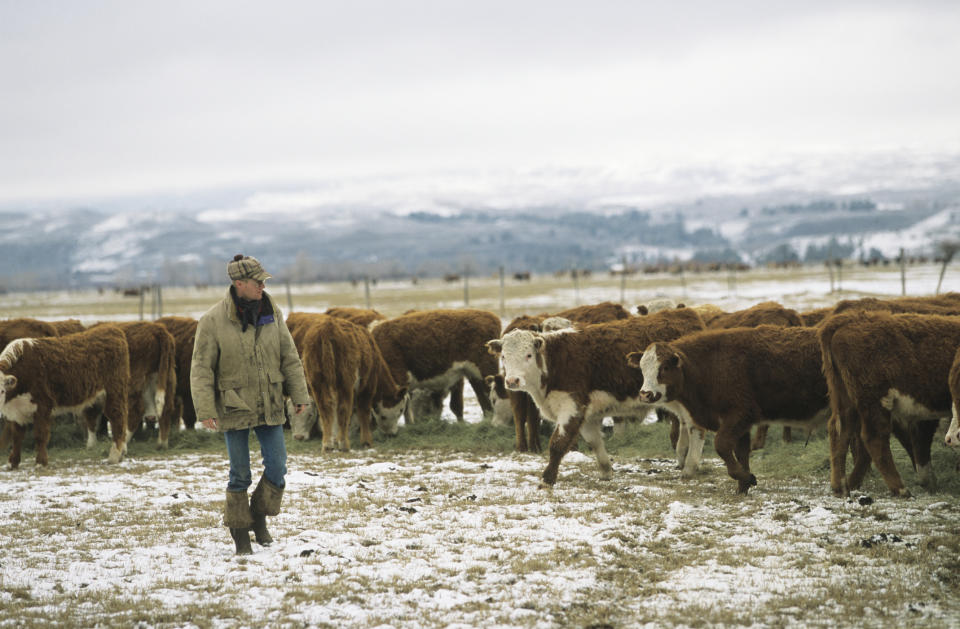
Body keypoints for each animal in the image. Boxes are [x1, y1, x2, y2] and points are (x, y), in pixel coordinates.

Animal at [0, 324, 130, 466]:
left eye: (2, 390)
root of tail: (112, 329)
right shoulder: (18, 411)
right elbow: (17, 438)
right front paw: (13, 463)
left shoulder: (43, 405)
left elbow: (40, 435)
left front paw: (40, 462)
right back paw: (122, 452)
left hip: (114, 391)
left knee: (117, 418)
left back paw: (114, 456)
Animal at [296, 314, 408, 446]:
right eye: (400, 410)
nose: (392, 434)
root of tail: (326, 329)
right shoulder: (367, 386)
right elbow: (363, 411)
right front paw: (366, 441)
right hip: (345, 382)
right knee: (343, 408)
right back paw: (343, 443)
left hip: (316, 381)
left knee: (325, 408)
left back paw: (328, 443)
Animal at [488, 310, 704, 486]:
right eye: (504, 356)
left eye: (528, 355)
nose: (512, 381)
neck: (556, 362)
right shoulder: (586, 413)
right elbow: (595, 442)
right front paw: (606, 472)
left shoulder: (571, 407)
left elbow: (558, 444)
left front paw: (547, 479)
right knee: (686, 425)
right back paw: (683, 458)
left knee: (696, 429)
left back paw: (689, 467)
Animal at [632, 326, 828, 494]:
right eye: (642, 368)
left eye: (664, 367)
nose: (645, 394)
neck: (710, 365)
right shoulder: (742, 424)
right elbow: (741, 453)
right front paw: (743, 486)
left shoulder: (738, 416)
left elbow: (722, 446)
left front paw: (748, 478)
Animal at [816, 310, 960, 496]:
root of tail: (845, 320)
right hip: (874, 400)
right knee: (874, 437)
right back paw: (900, 488)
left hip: (846, 398)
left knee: (839, 430)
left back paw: (841, 486)